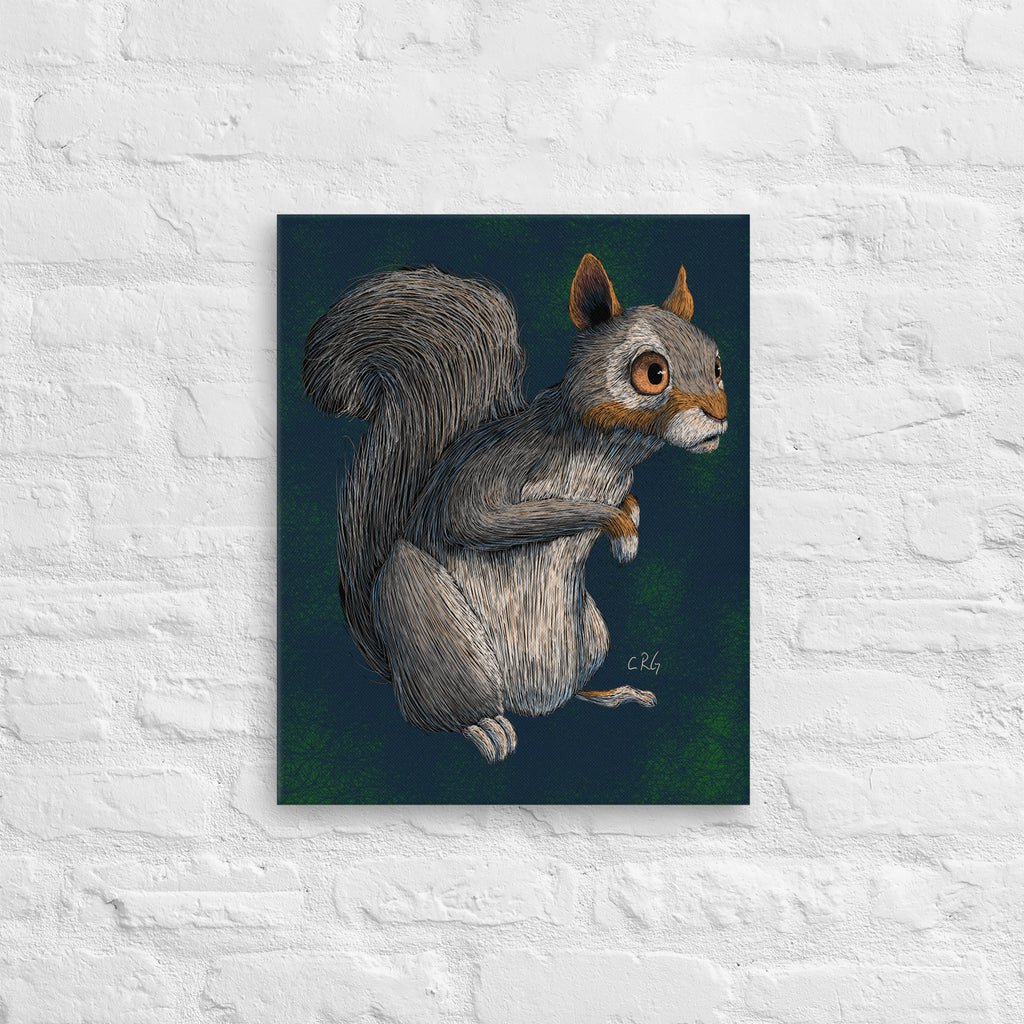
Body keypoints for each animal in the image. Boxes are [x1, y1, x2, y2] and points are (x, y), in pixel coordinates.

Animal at [302, 253, 727, 763]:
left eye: (717, 364)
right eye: (652, 373)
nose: (720, 416)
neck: (609, 453)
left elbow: (629, 499)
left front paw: (632, 527)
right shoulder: (496, 470)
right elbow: (481, 521)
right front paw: (619, 529)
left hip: (592, 635)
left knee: (571, 693)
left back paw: (614, 695)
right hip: (434, 629)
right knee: (440, 713)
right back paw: (484, 728)